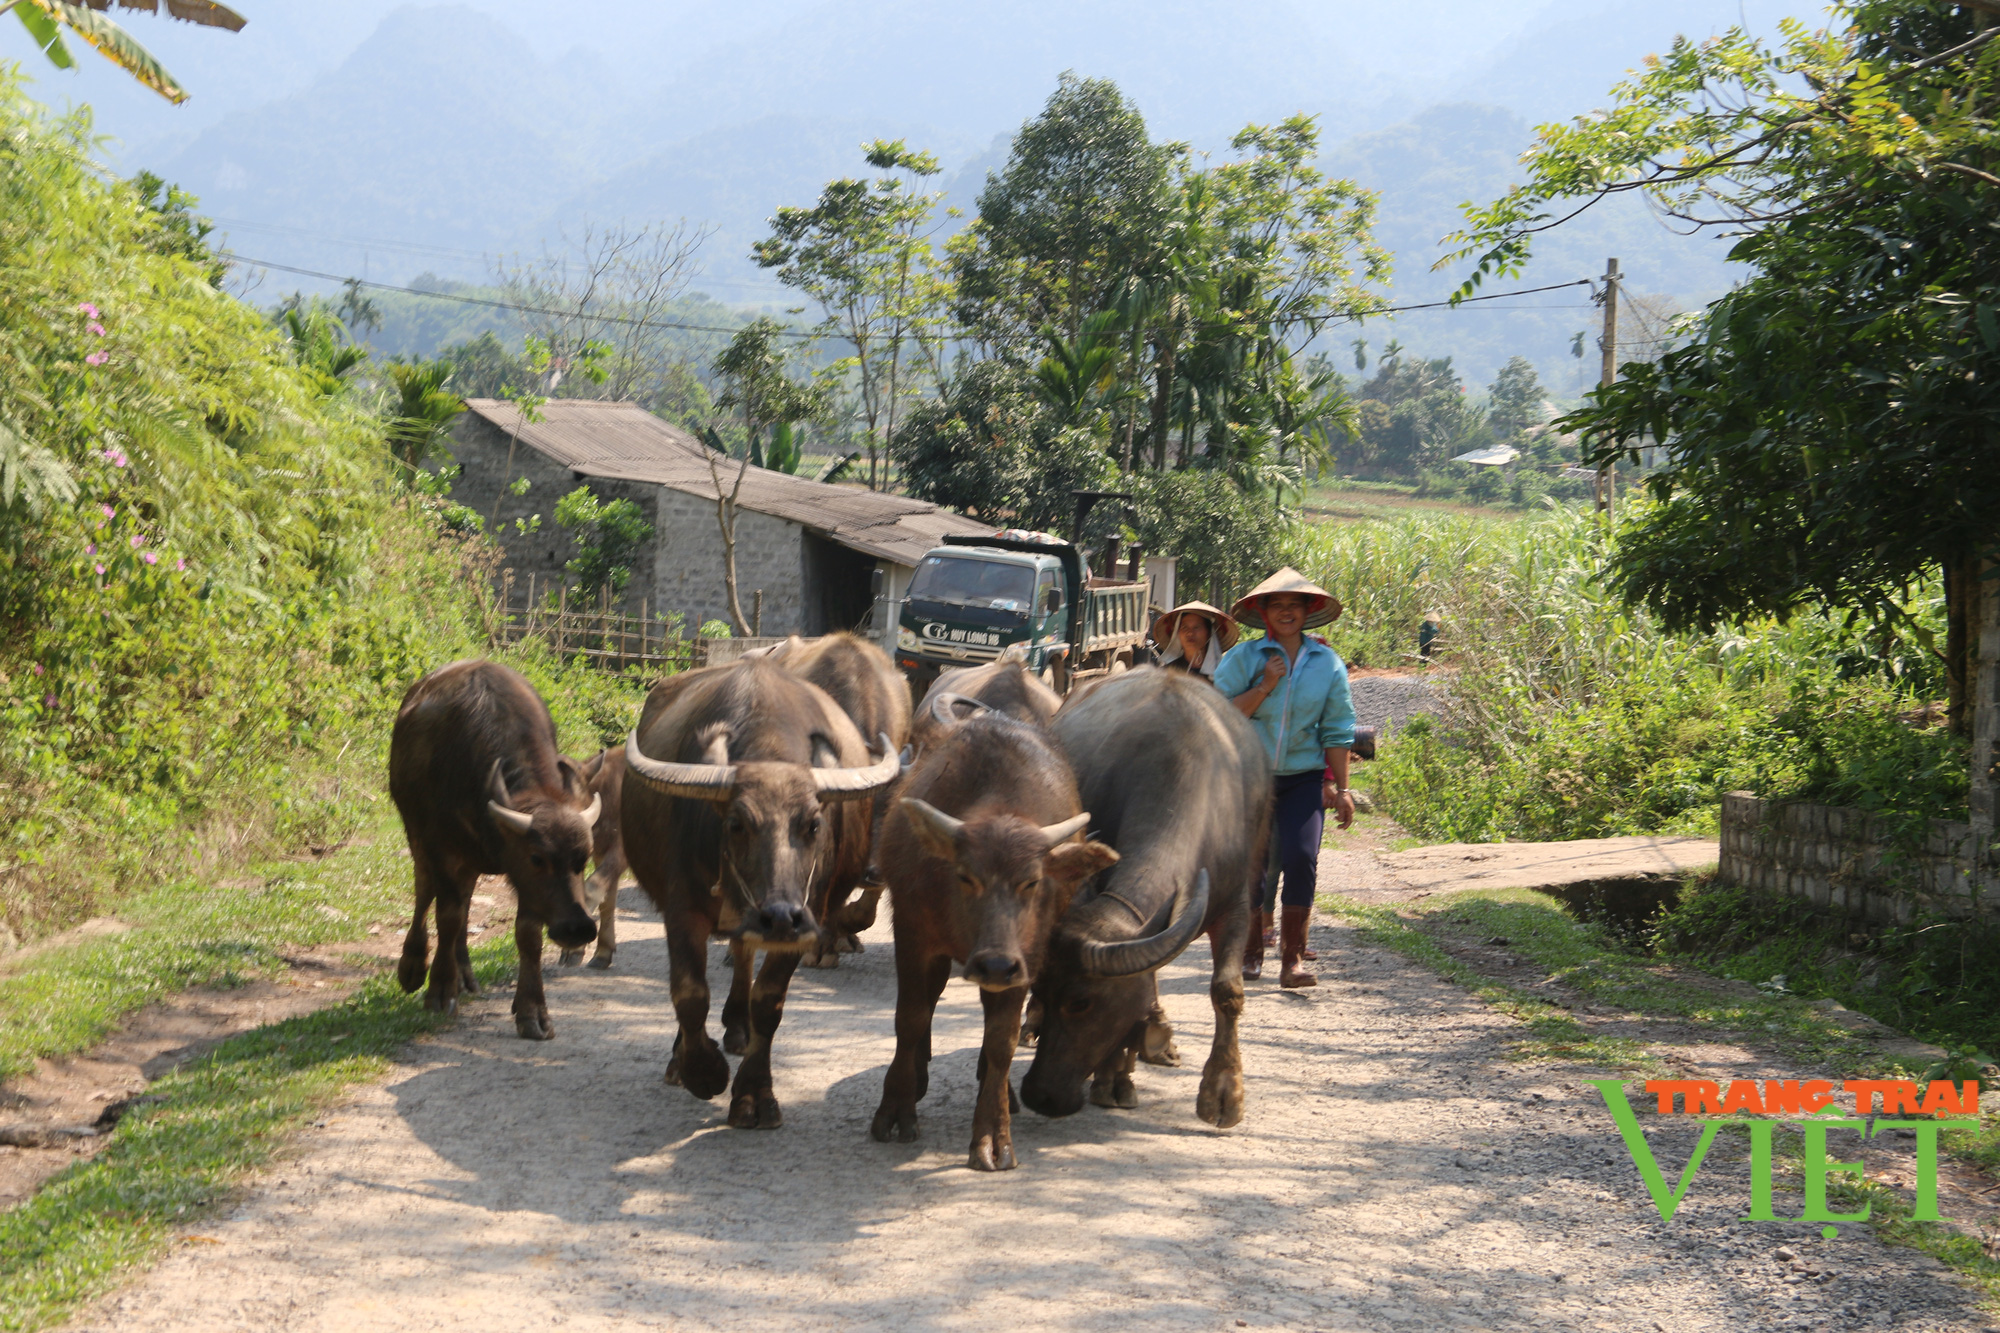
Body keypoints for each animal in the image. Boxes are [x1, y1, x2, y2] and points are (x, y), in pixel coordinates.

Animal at [388, 656, 600, 1040]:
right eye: (537, 858)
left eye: (584, 858)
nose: (576, 929)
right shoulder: (441, 848)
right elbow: (447, 915)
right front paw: (439, 991)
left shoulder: (521, 881)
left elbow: (527, 935)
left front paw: (532, 1012)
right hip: (416, 834)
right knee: (426, 891)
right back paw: (414, 966)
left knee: (466, 896)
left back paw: (465, 974)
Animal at [624, 652, 900, 1120]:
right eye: (736, 824)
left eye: (813, 824)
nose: (780, 917)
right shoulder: (683, 907)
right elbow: (689, 991)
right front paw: (701, 1070)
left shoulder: (807, 919)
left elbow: (767, 1000)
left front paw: (754, 1095)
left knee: (743, 953)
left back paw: (738, 1027)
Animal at [868, 712, 1120, 1168]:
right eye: (966, 876)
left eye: (1032, 881)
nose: (996, 964)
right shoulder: (912, 933)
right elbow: (909, 1018)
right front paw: (896, 1109)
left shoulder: (1027, 957)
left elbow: (1002, 1040)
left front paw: (992, 1135)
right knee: (928, 1002)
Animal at [1024, 664, 1272, 1120]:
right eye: (1042, 990)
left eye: (1081, 1002)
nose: (1038, 1096)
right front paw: (1112, 1080)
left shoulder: (1236, 904)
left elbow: (1226, 990)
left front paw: (1224, 1090)